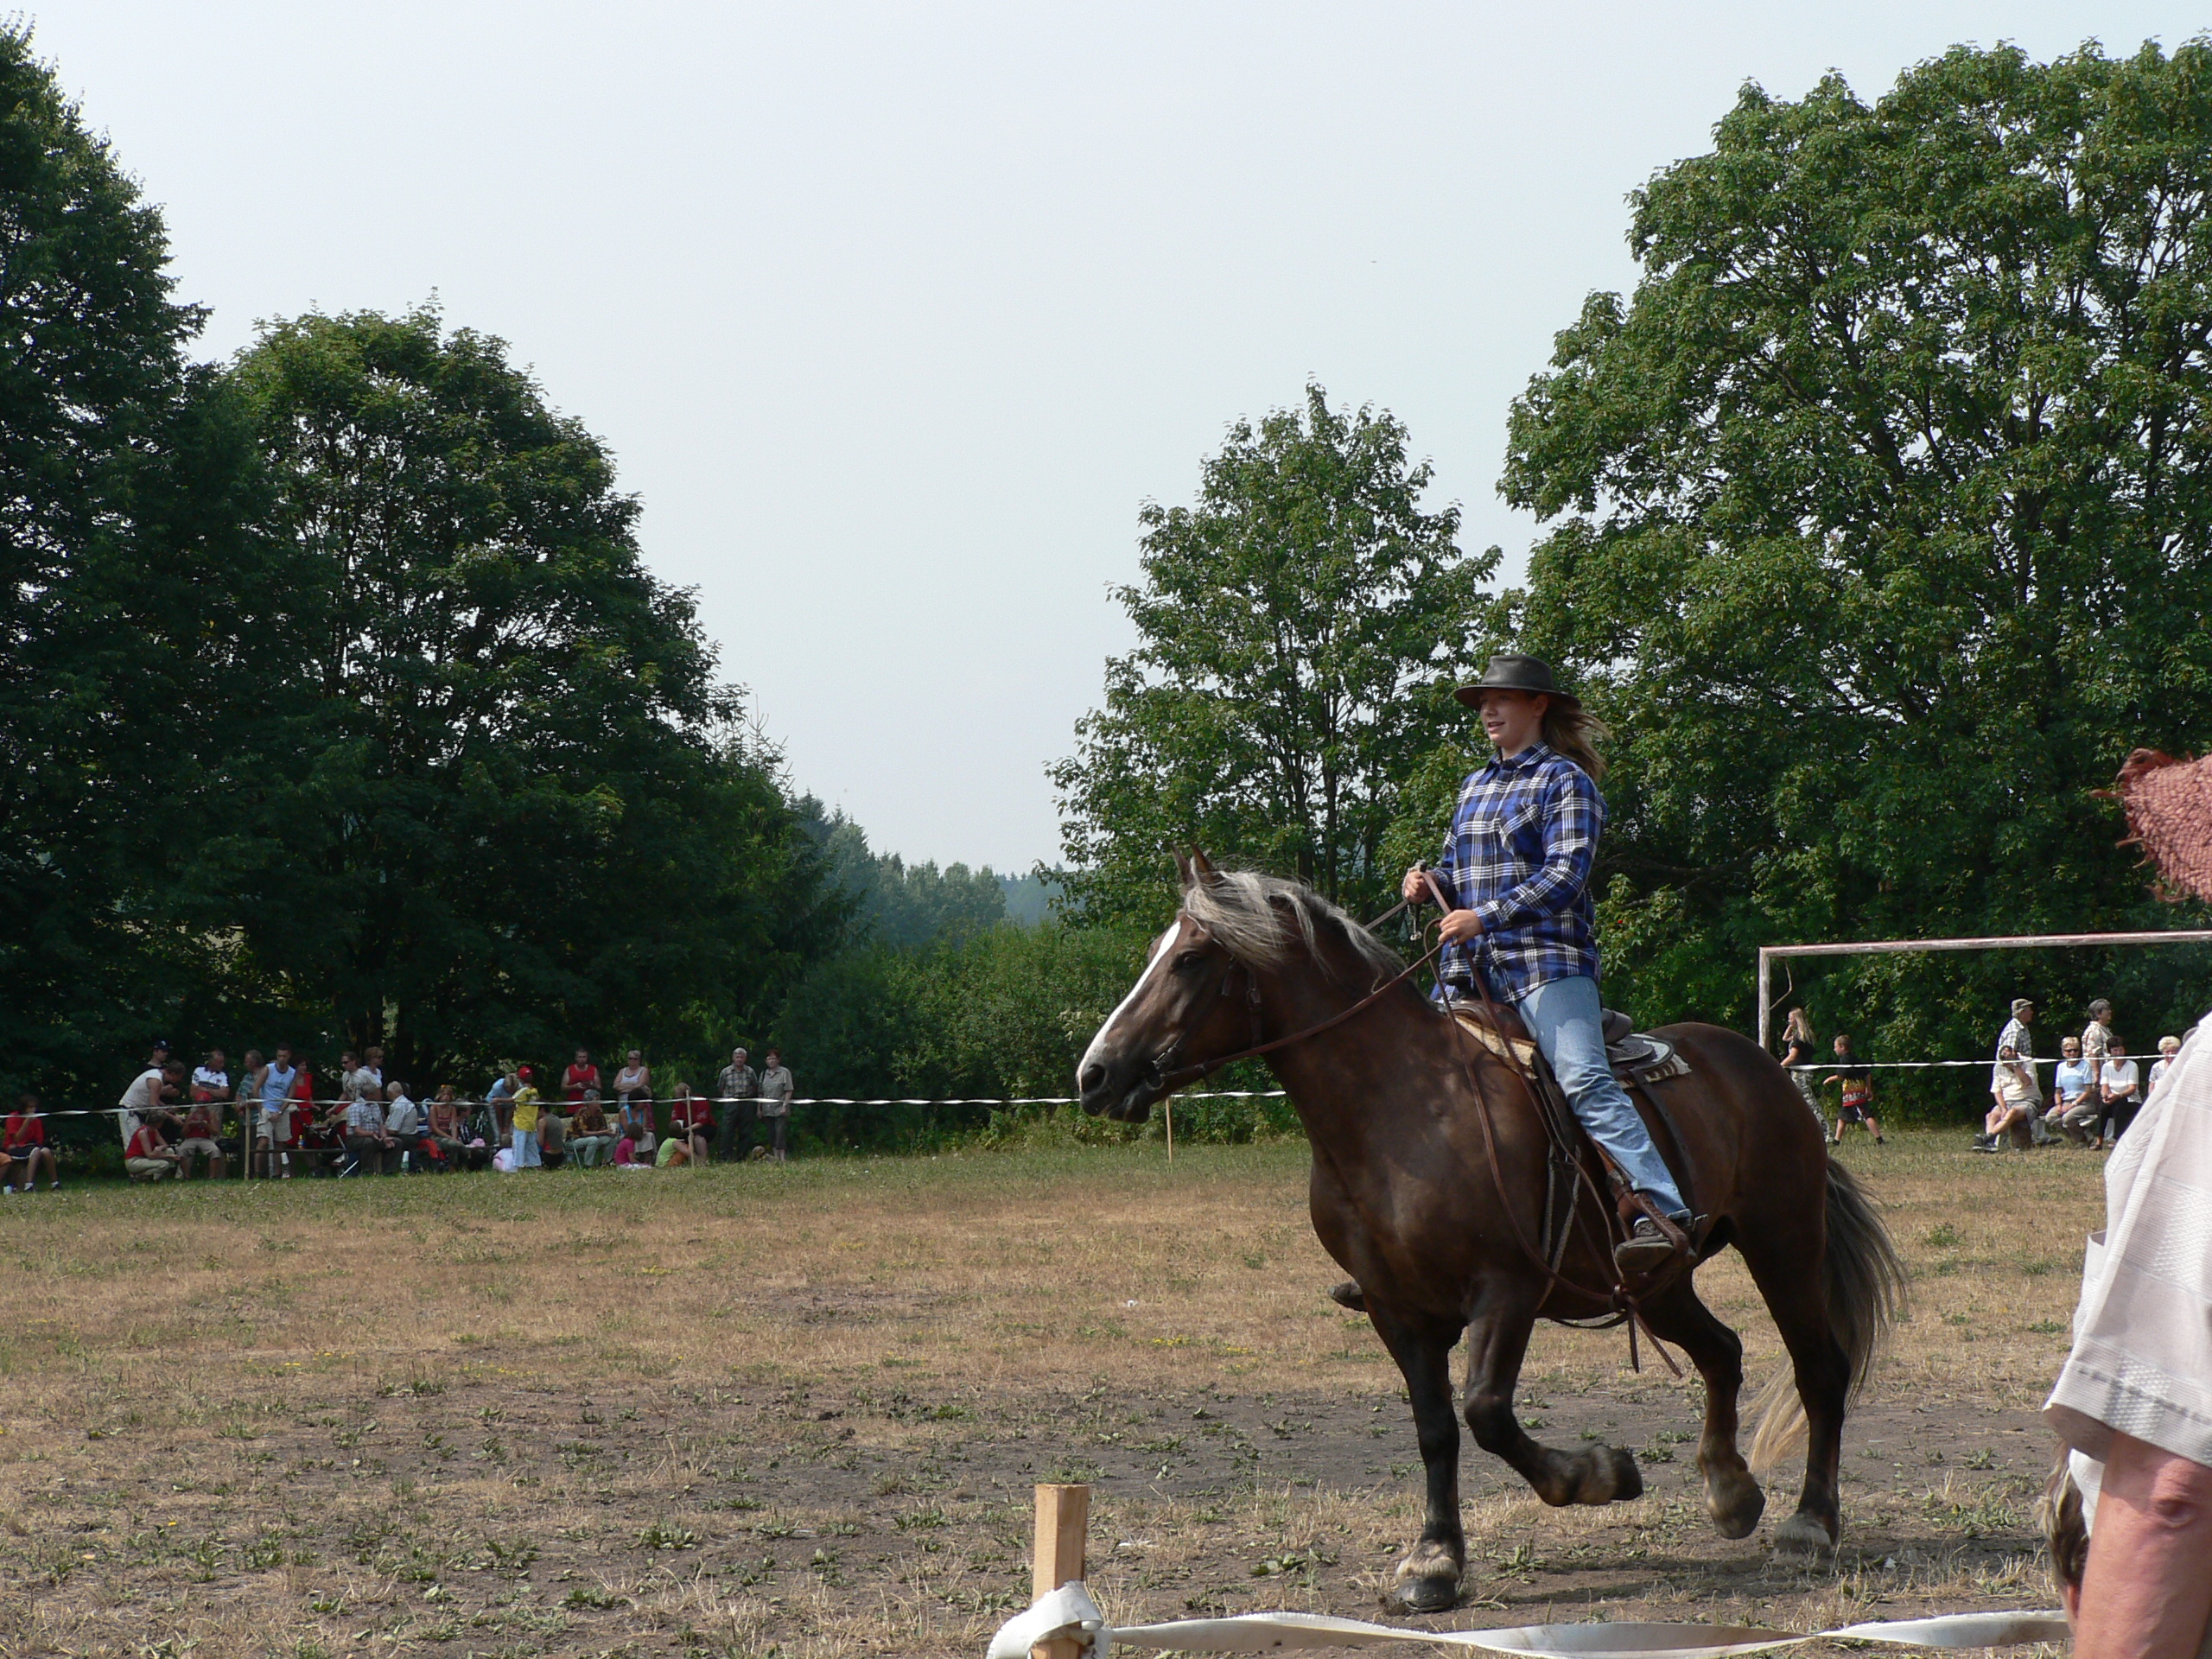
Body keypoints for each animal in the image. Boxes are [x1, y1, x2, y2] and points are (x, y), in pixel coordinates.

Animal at [1075, 862, 1902, 1618]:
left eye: (1190, 959)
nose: (1094, 1075)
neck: (1404, 1109)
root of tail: (1764, 1071)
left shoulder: (1505, 1291)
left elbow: (1487, 1413)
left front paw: (1599, 1475)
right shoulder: (1394, 1309)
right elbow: (1437, 1429)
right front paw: (1435, 1561)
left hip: (1784, 1246)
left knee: (1819, 1370)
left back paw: (1810, 1525)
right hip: (1661, 1281)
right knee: (1722, 1352)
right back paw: (1731, 1493)